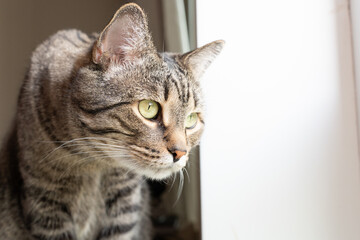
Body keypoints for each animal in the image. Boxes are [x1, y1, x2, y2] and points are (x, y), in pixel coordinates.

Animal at [0, 2, 224, 240]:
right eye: (149, 108)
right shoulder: (45, 203)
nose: (180, 153)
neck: (92, 163)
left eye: (191, 119)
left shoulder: (124, 204)